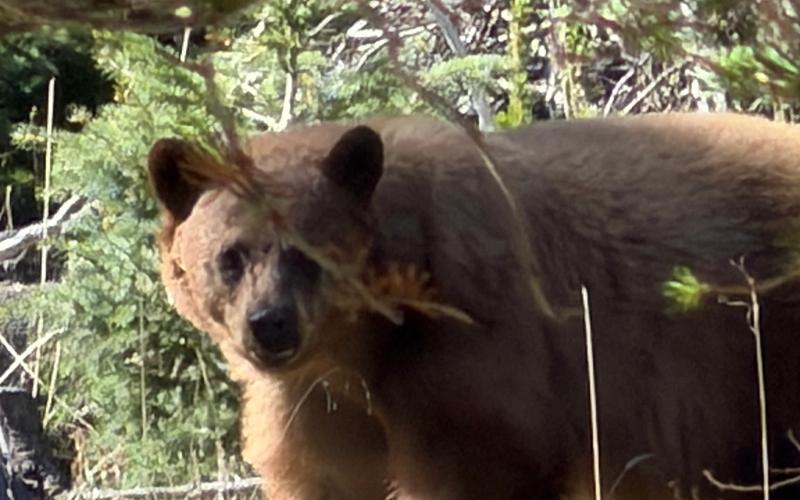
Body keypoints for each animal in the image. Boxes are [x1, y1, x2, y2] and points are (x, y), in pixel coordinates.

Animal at [148, 113, 800, 500]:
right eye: (231, 256)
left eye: (311, 255)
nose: (271, 324)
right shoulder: (318, 407)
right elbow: (326, 473)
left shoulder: (475, 364)